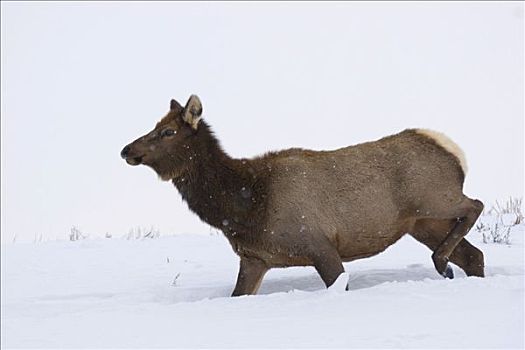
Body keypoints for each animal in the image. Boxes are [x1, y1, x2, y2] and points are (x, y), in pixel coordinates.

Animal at [119, 95, 484, 296]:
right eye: (154, 125)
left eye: (167, 131)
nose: (126, 150)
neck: (245, 206)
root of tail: (453, 150)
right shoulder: (255, 258)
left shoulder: (319, 243)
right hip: (424, 224)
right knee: (474, 255)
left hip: (435, 197)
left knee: (475, 204)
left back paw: (441, 262)